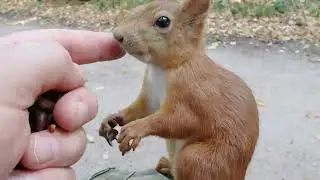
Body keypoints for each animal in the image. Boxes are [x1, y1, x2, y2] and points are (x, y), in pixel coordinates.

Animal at [99, 0, 260, 179]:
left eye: (163, 21)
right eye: (139, 7)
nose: (117, 35)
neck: (163, 69)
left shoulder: (197, 94)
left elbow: (182, 120)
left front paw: (135, 129)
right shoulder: (151, 96)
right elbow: (142, 109)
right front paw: (113, 118)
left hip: (198, 158)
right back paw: (166, 166)